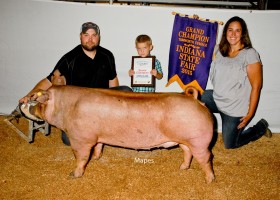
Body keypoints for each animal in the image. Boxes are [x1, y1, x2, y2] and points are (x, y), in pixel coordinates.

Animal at [20, 85, 215, 183]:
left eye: (36, 99)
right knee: (187, 153)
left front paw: (74, 175)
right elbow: (98, 147)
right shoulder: (97, 137)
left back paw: (209, 180)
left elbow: (81, 157)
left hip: (199, 141)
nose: (21, 102)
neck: (66, 107)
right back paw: (182, 168)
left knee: (206, 158)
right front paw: (96, 158)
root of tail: (194, 99)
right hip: (185, 140)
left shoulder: (80, 139)